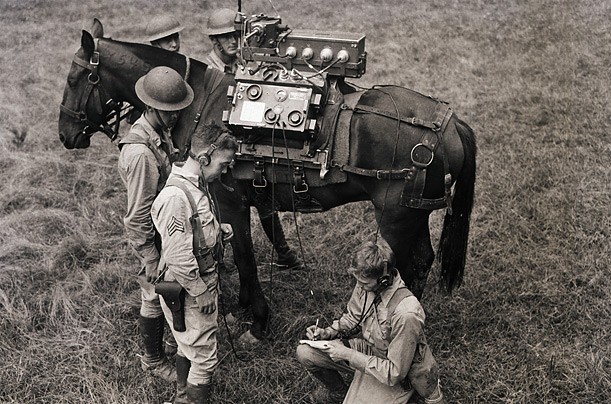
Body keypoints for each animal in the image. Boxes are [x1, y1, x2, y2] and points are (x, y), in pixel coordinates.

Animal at [58, 19, 478, 340]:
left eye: (76, 78)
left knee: (405, 266)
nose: (65, 134)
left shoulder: (230, 201)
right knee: (422, 261)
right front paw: (246, 306)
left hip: (395, 217)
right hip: (413, 213)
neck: (202, 105)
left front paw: (259, 319)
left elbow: (244, 256)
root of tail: (448, 122)